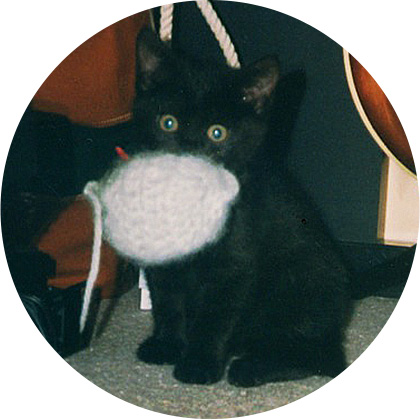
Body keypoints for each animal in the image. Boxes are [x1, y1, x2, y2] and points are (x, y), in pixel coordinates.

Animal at [130, 28, 352, 387]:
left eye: (217, 133)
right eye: (168, 123)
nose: (189, 154)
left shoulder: (234, 264)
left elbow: (214, 317)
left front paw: (199, 365)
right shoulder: (160, 252)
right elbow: (166, 300)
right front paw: (166, 344)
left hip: (298, 284)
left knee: (320, 357)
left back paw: (251, 367)